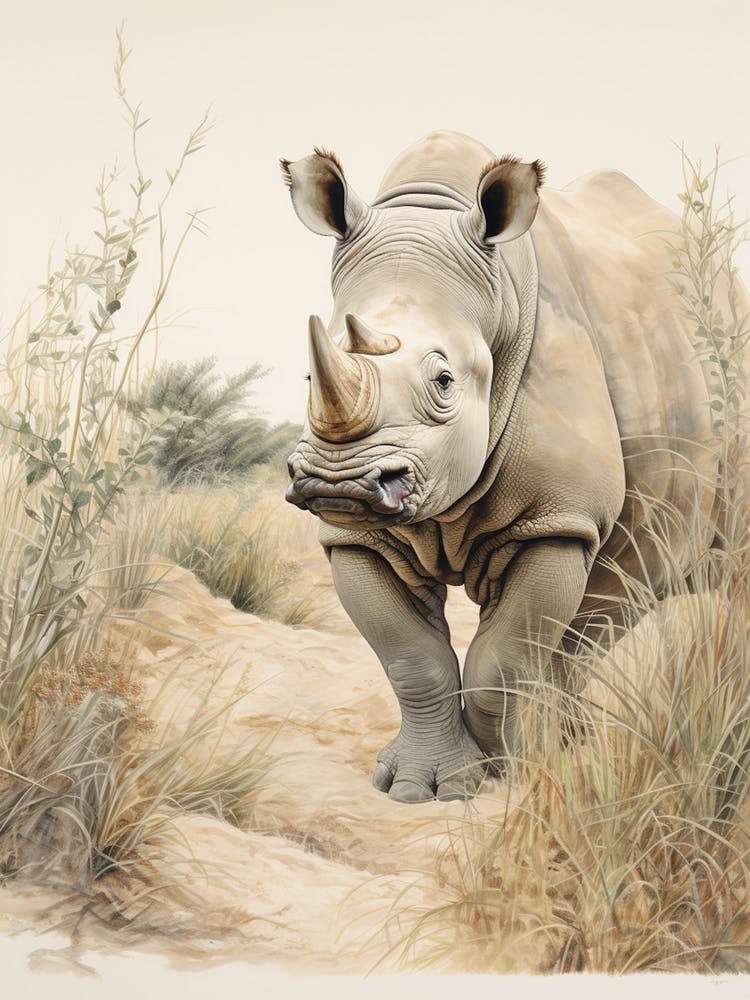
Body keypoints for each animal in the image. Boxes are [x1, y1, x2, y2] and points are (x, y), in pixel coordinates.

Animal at [281, 130, 722, 803]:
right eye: (309, 376)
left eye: (443, 381)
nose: (340, 483)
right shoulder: (356, 538)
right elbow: (412, 659)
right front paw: (416, 788)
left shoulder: (557, 521)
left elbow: (508, 657)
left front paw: (513, 768)